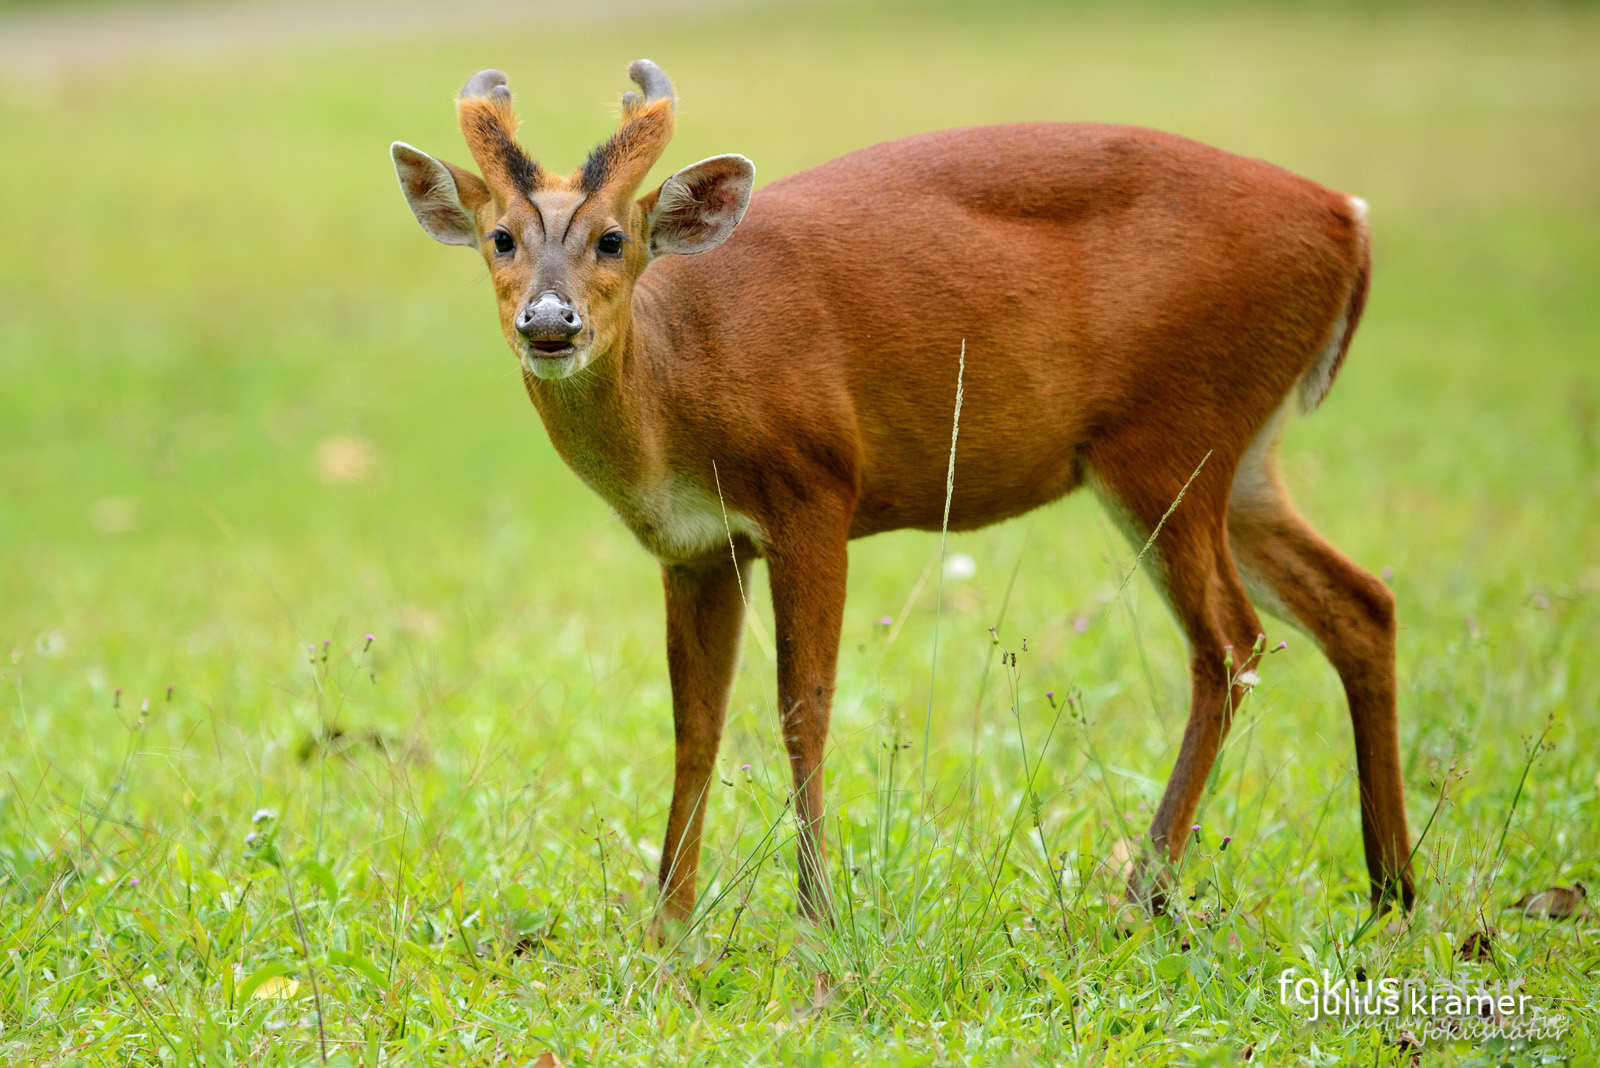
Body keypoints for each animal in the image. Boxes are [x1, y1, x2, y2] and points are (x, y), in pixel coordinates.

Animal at [393, 58, 1420, 927]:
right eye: (500, 239)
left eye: (613, 239)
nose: (550, 321)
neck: (683, 384)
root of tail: (1351, 221)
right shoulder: (697, 546)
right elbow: (695, 722)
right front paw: (668, 931)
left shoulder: (816, 488)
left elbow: (802, 706)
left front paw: (814, 920)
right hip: (1241, 454)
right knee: (1360, 600)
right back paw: (1391, 890)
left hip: (1172, 433)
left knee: (1232, 641)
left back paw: (1143, 895)